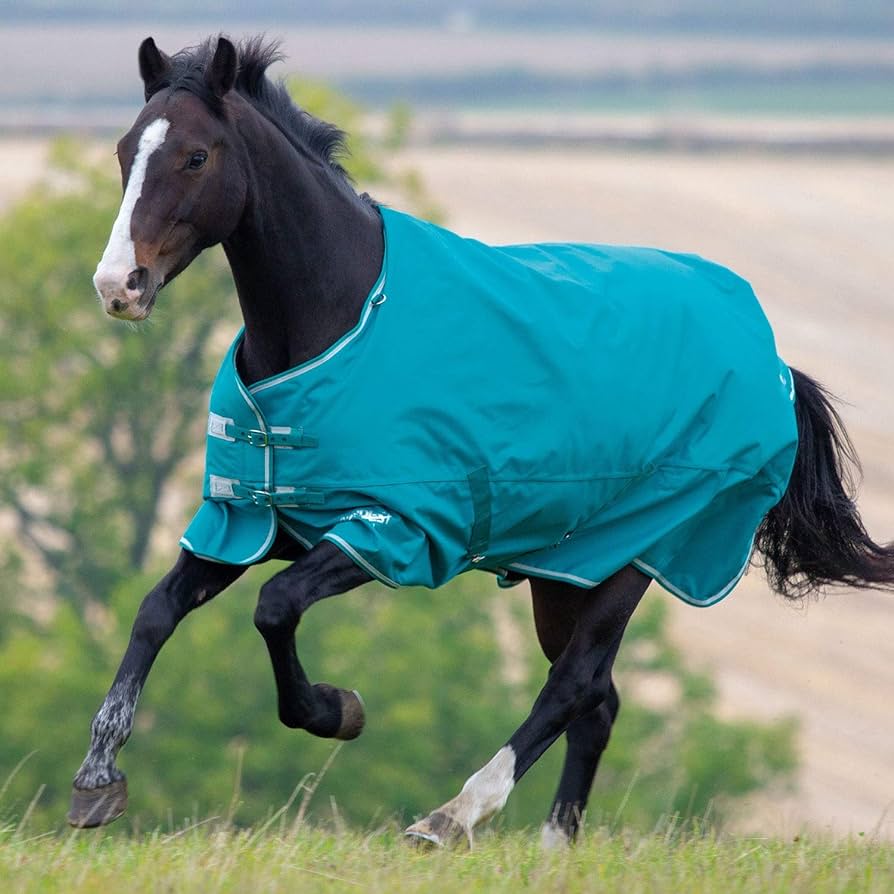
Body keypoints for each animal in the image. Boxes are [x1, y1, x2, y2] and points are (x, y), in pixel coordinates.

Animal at [70, 36, 894, 845]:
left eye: (196, 156)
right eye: (123, 150)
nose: (118, 286)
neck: (341, 319)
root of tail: (774, 362)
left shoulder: (394, 530)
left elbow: (274, 608)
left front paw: (336, 709)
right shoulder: (250, 520)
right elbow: (156, 610)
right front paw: (97, 780)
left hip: (640, 554)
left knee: (572, 686)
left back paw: (451, 816)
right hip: (569, 571)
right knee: (599, 702)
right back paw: (554, 845)